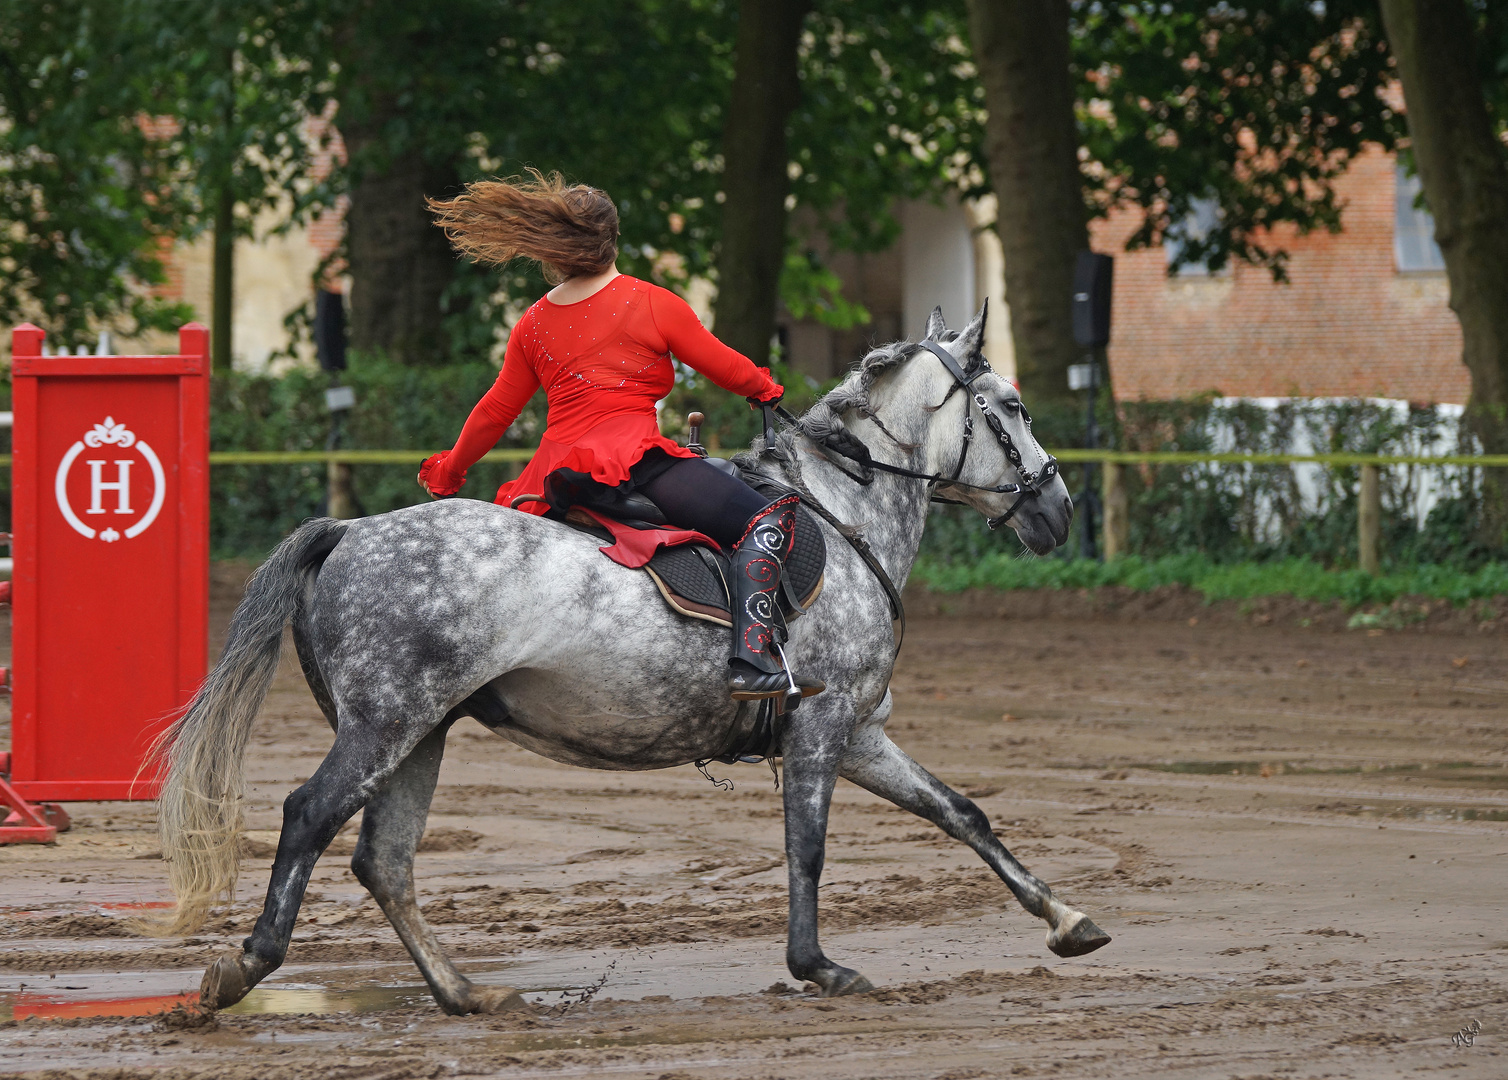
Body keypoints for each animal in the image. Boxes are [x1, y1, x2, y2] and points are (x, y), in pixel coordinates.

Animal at [156, 301, 1109, 1013]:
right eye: (1011, 407)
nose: (1059, 509)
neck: (845, 516)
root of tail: (349, 529)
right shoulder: (822, 726)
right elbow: (807, 848)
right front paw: (819, 967)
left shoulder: (861, 733)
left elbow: (963, 814)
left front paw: (1066, 920)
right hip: (384, 726)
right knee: (310, 817)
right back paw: (244, 968)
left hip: (420, 733)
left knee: (382, 860)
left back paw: (464, 992)